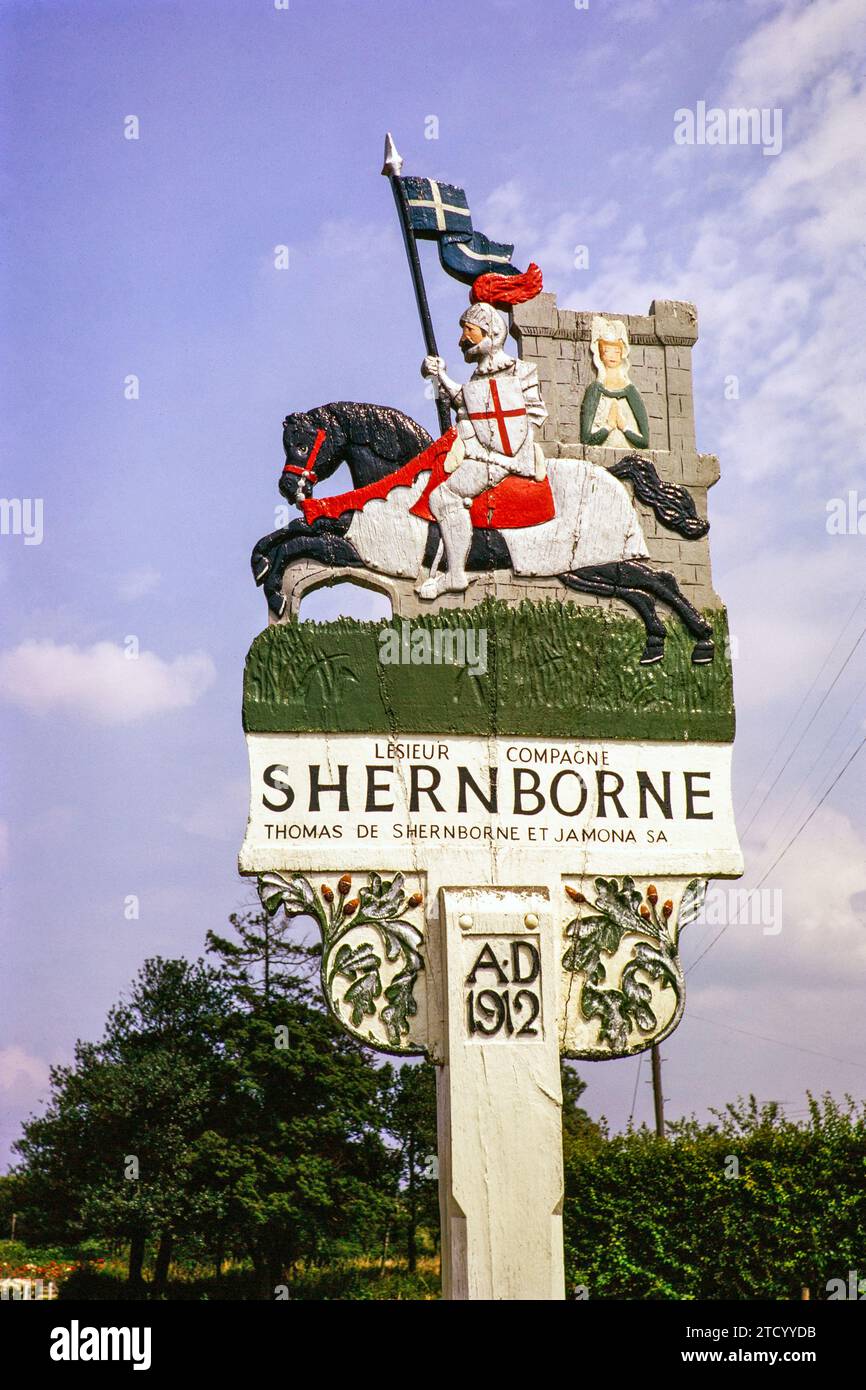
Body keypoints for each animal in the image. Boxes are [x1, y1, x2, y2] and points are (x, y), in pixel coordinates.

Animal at [248, 400, 711, 664]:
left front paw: (273, 588)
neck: (400, 480)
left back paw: (702, 641)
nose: (288, 488)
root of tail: (613, 472)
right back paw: (655, 645)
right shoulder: (356, 533)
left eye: (302, 444)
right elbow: (300, 530)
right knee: (639, 592)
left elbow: (306, 540)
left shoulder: (368, 550)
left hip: (598, 561)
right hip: (581, 571)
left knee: (661, 580)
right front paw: (261, 564)